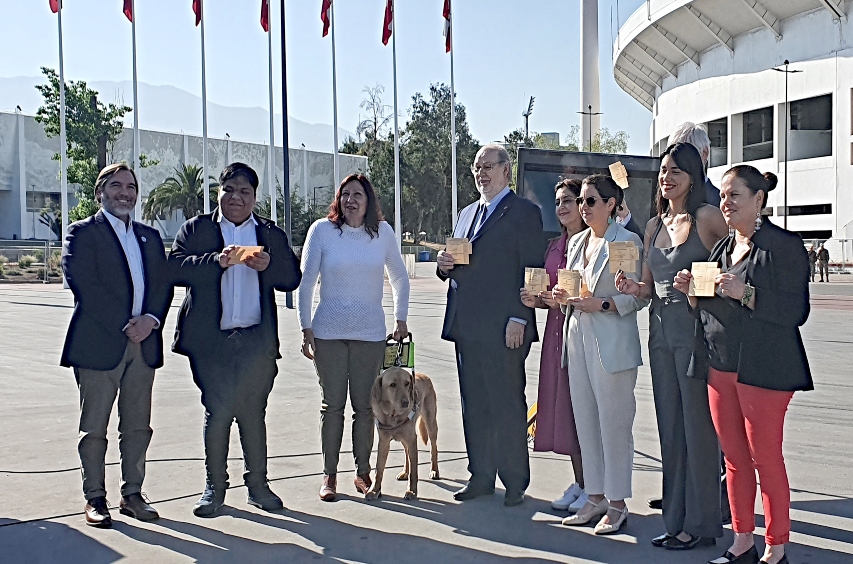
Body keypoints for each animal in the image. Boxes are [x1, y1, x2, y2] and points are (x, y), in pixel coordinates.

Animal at [366, 368, 440, 500]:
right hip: (404, 438)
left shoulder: (412, 439)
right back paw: (405, 472)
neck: (393, 415)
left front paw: (412, 491)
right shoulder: (384, 442)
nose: (406, 402)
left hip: (430, 423)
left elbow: (414, 471)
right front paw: (374, 490)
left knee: (433, 447)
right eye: (392, 385)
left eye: (407, 383)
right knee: (406, 452)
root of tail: (424, 375)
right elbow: (378, 469)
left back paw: (434, 471)